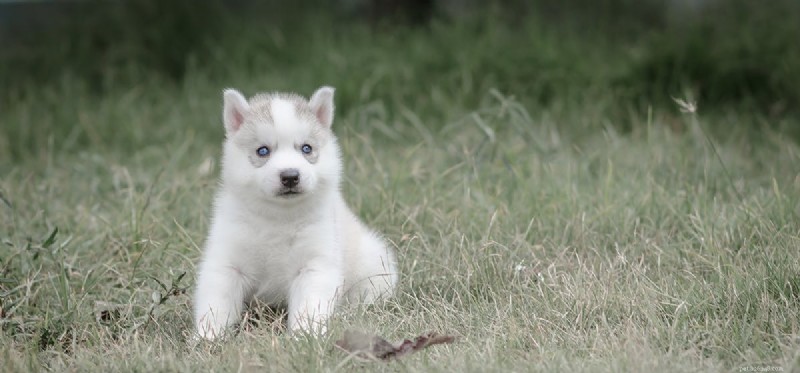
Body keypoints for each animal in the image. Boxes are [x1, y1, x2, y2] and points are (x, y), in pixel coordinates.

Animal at [191, 85, 396, 338]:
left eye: (306, 148)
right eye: (263, 151)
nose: (290, 176)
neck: (277, 218)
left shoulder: (314, 264)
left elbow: (310, 304)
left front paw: (305, 335)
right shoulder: (227, 261)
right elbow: (216, 302)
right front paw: (208, 336)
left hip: (374, 264)